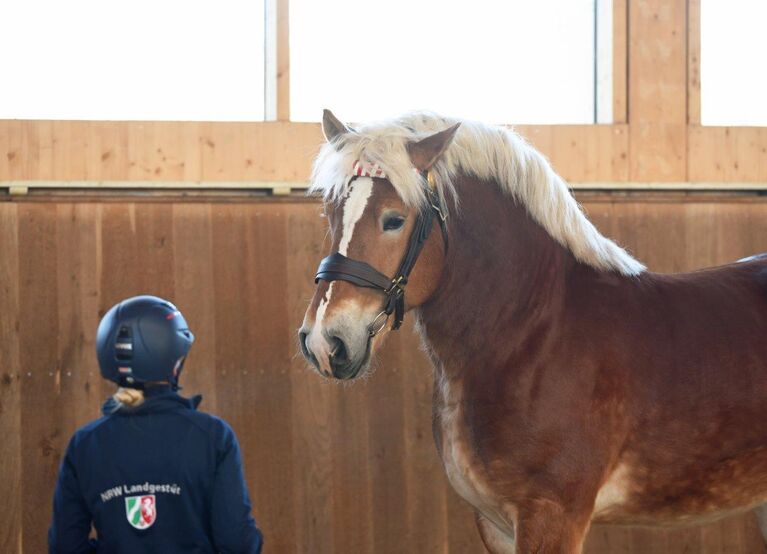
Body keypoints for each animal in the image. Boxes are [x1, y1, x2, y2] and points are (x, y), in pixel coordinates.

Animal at [298, 110, 767, 548]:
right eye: (331, 211)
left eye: (394, 219)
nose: (324, 341)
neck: (533, 336)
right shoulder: (495, 523)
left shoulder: (552, 515)